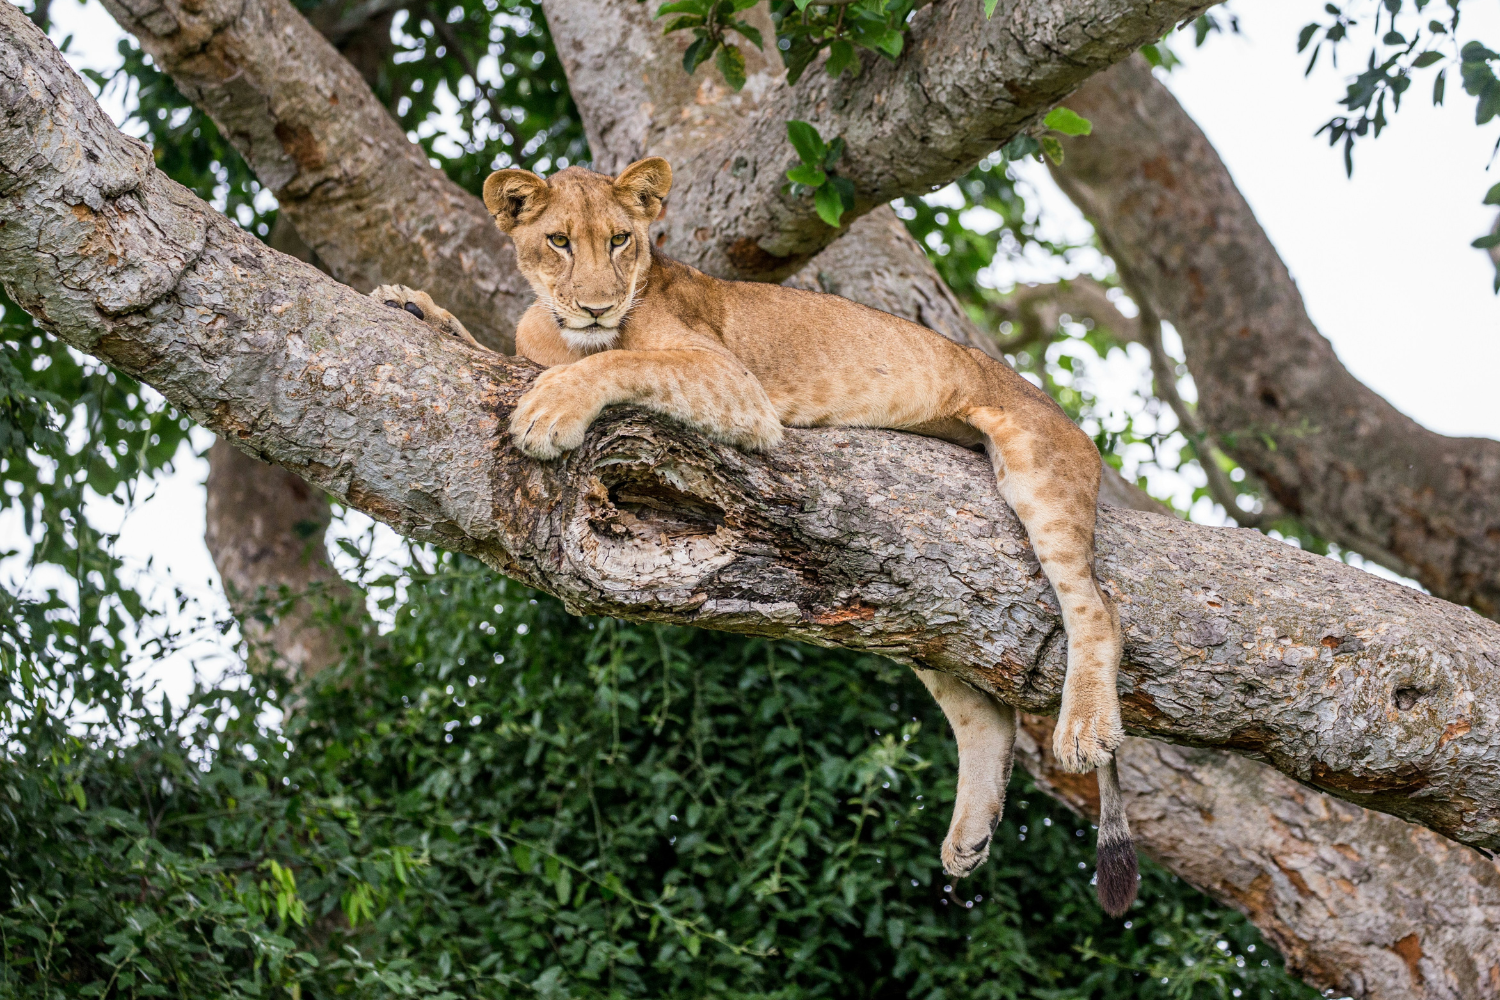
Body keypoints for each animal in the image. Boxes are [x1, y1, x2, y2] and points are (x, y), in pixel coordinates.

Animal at [371, 157, 1138, 915]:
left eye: (621, 240)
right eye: (557, 241)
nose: (596, 307)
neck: (563, 331)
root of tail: (1068, 422)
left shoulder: (732, 382)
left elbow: (620, 363)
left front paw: (552, 407)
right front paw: (412, 307)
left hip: (1035, 461)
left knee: (1097, 604)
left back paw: (1083, 729)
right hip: (914, 604)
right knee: (983, 710)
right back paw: (969, 836)